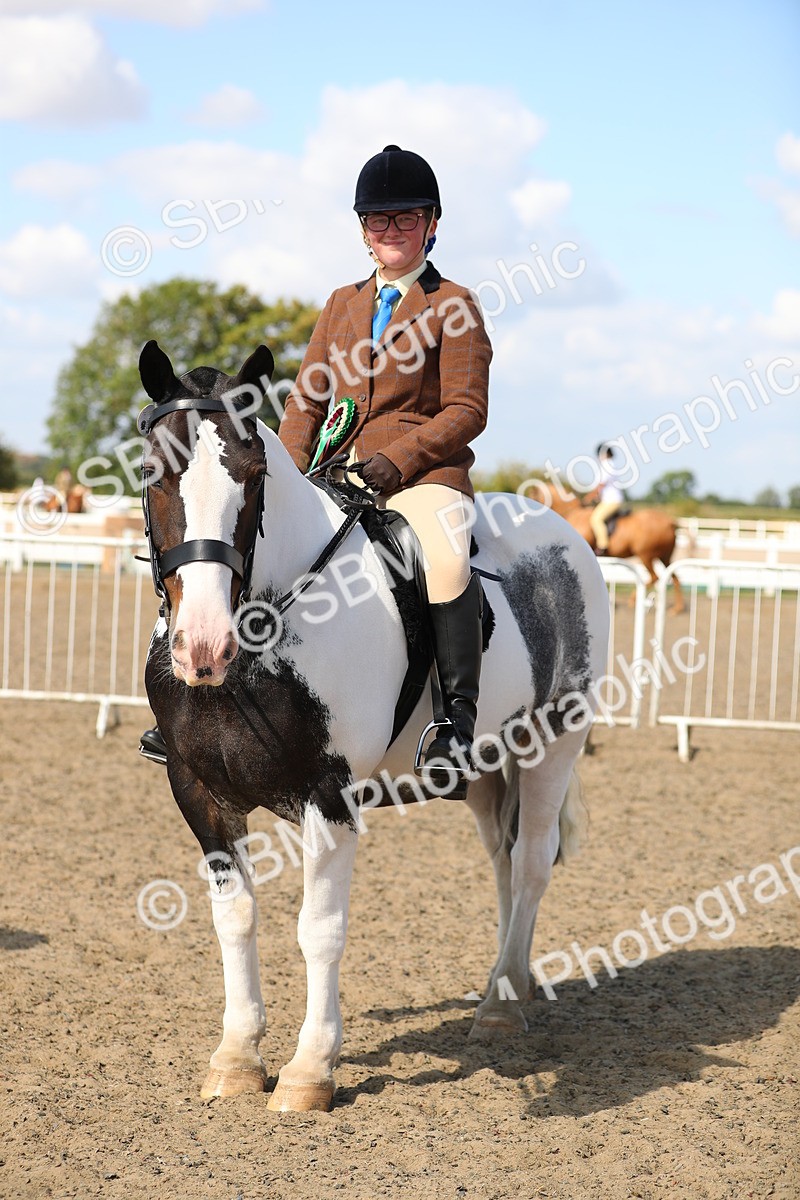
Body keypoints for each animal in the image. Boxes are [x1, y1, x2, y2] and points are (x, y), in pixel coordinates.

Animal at [138, 339, 610, 1113]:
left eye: (254, 476)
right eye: (153, 472)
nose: (202, 646)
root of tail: (562, 532)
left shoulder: (328, 796)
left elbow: (319, 930)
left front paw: (309, 1072)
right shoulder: (198, 792)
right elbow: (234, 917)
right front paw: (236, 1058)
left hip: (552, 744)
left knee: (533, 862)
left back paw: (503, 1006)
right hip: (484, 768)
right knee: (504, 863)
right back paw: (503, 984)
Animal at [532, 482, 685, 614]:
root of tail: (670, 521)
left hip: (646, 555)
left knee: (654, 577)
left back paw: (634, 601)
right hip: (665, 557)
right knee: (675, 577)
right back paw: (677, 608)